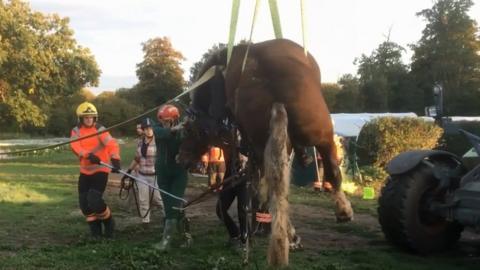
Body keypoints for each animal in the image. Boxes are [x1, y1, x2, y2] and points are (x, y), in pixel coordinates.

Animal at [178, 38, 354, 268]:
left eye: (188, 130)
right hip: (321, 135)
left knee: (273, 192)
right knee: (329, 172)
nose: (180, 158)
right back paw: (341, 212)